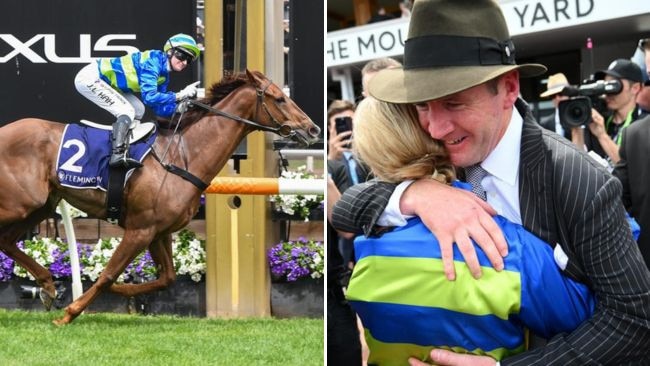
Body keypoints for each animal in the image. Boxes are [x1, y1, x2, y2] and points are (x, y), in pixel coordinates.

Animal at [0, 69, 320, 324]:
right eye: (279, 99)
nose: (313, 128)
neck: (183, 155)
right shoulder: (139, 229)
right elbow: (108, 273)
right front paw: (70, 312)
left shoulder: (159, 231)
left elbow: (165, 279)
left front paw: (111, 293)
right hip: (21, 204)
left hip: (40, 206)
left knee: (6, 241)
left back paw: (47, 285)